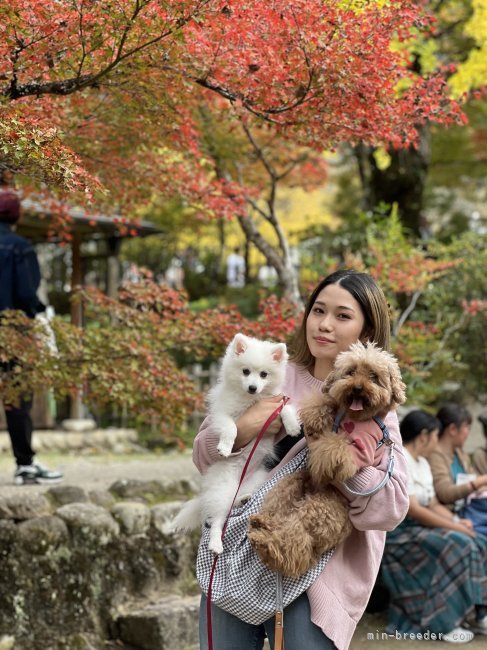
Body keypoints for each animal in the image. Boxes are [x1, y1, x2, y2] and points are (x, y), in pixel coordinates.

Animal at [172, 334, 302, 552]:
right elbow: (231, 428)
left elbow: (286, 409)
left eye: (264, 374)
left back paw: (244, 498)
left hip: (257, 478)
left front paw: (293, 426)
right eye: (245, 371)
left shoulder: (275, 405)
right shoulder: (222, 414)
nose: (252, 387)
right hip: (223, 489)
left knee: (235, 504)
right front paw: (225, 447)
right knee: (217, 521)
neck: (251, 401)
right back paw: (216, 544)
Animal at [250, 342, 406, 576]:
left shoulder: (363, 448)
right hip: (290, 485)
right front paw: (317, 417)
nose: (357, 388)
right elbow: (323, 402)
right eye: (350, 372)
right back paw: (263, 522)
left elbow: (335, 446)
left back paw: (267, 545)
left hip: (318, 509)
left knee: (295, 545)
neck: (353, 418)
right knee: (283, 514)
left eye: (373, 377)